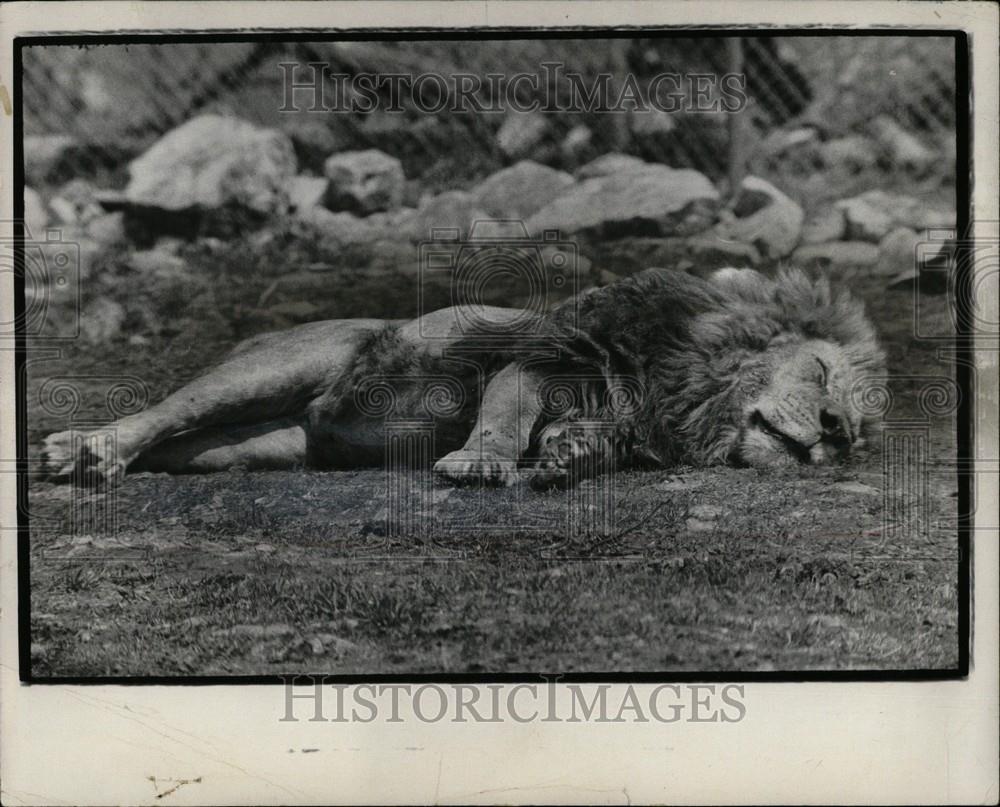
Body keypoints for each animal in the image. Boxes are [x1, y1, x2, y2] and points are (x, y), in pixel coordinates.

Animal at [39, 268, 884, 490]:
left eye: (855, 433)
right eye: (819, 371)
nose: (833, 431)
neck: (682, 391)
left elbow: (588, 441)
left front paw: (569, 459)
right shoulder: (546, 357)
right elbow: (503, 415)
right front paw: (480, 463)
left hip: (255, 447)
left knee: (183, 442)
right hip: (274, 366)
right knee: (162, 411)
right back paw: (85, 450)